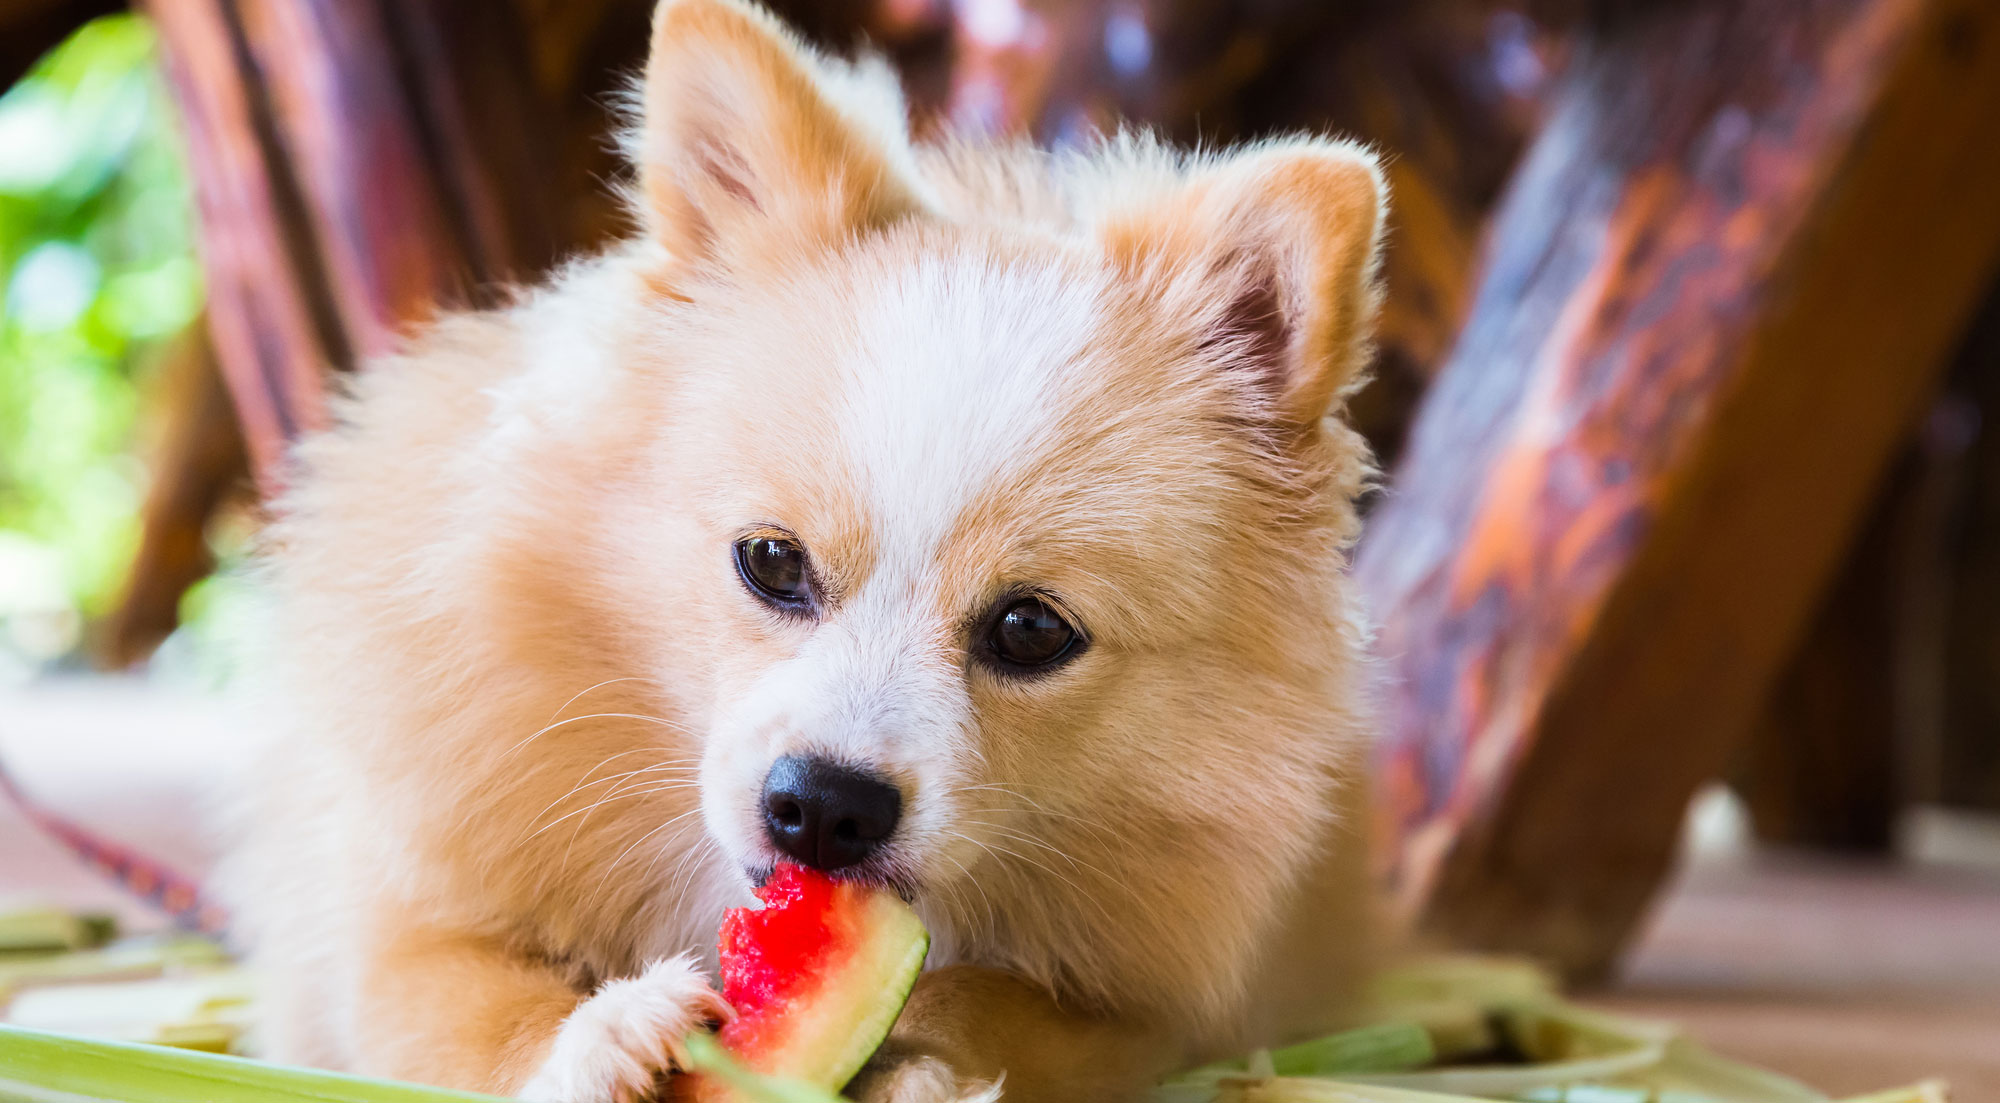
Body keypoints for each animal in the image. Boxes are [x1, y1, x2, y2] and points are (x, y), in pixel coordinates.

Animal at [219, 2, 1384, 1103]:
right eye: (771, 562)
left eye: (1030, 629)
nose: (824, 803)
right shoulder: (380, 932)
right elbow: (462, 1006)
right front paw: (596, 1037)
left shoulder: (1144, 1009)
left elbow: (1009, 1006)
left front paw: (923, 1055)